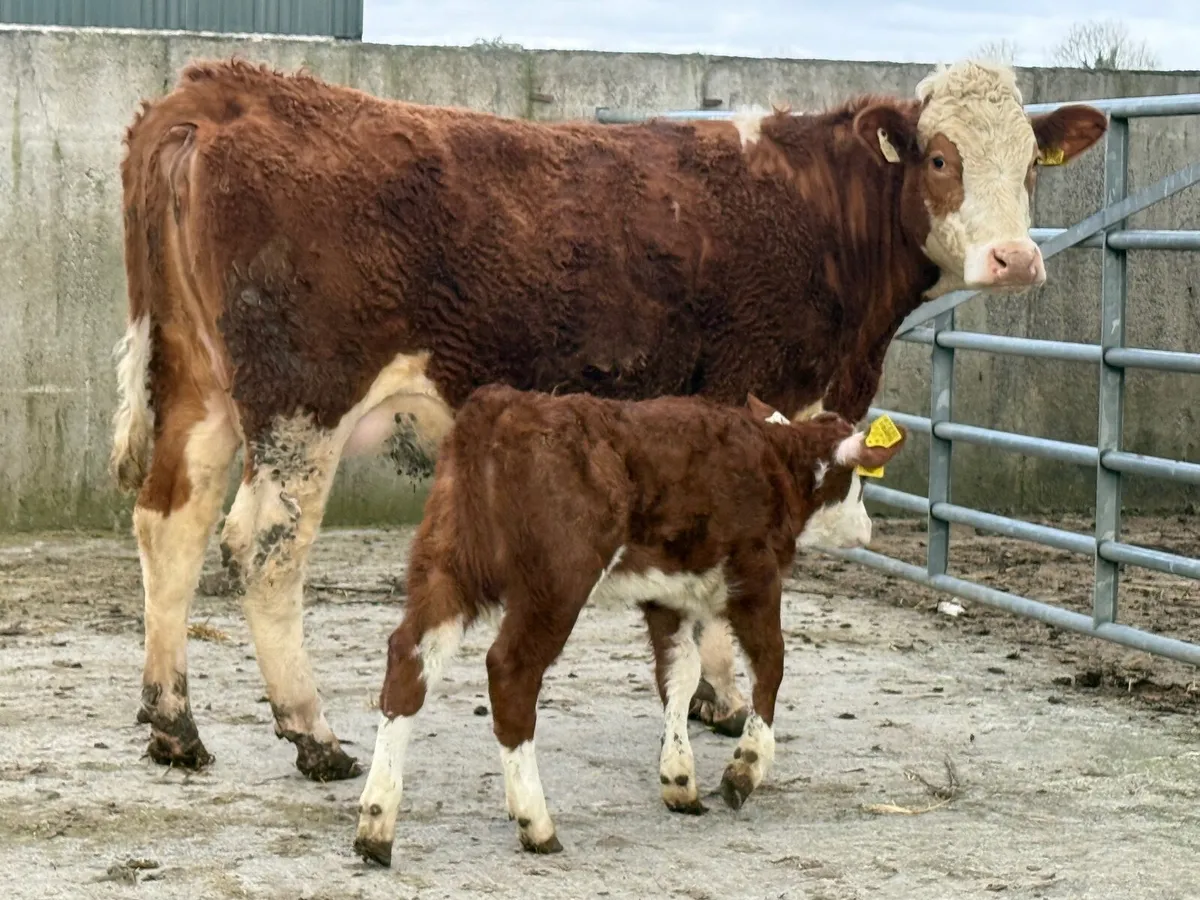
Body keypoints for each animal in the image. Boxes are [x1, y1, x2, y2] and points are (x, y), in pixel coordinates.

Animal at [111, 56, 1106, 782]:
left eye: (1030, 165)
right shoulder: (751, 398)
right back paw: (310, 732)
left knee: (171, 522)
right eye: (941, 159)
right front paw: (723, 700)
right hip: (301, 399)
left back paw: (173, 724)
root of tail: (220, 90)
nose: (1016, 259)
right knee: (262, 547)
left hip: (196, 386)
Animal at [352, 386, 909, 864]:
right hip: (556, 583)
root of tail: (504, 406)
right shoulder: (755, 576)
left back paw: (376, 824)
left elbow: (679, 675)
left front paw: (679, 779)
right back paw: (536, 822)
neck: (775, 464)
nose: (868, 528)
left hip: (447, 564)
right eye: (861, 483)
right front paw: (744, 769)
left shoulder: (668, 596)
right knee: (510, 672)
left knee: (409, 658)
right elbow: (770, 665)